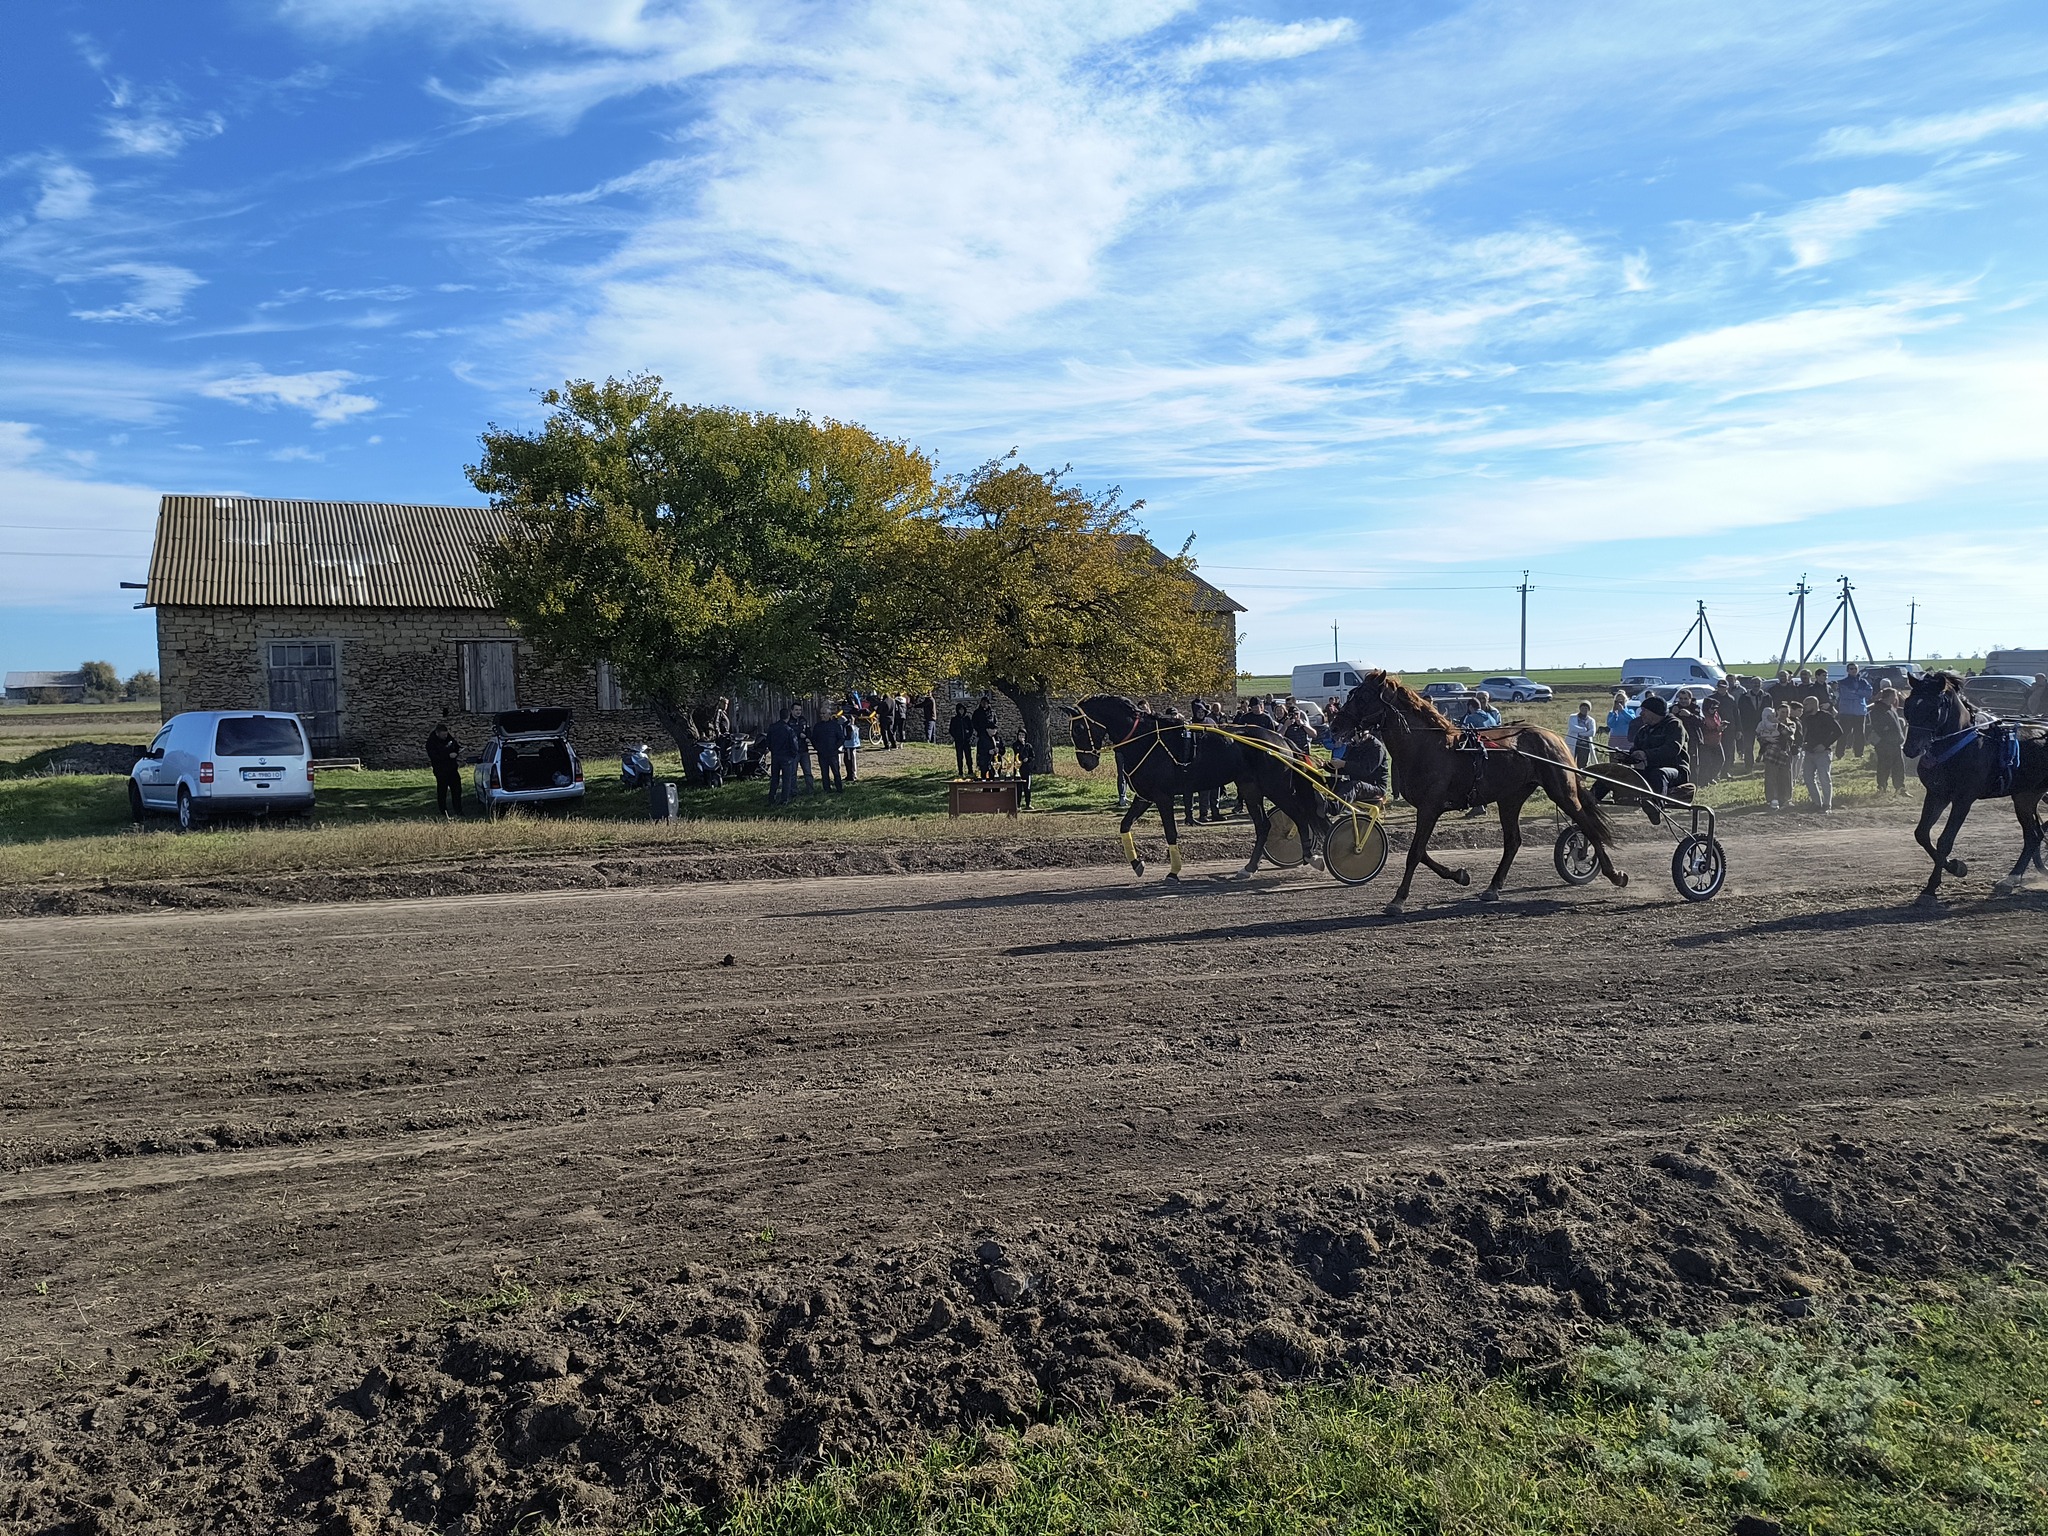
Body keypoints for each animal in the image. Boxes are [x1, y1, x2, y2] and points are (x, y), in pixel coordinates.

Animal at [1327, 671, 1630, 913]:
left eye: (1362, 696)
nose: (1335, 725)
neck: (1427, 746)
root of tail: (1553, 736)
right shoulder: (1428, 809)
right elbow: (1421, 852)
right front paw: (1460, 875)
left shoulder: (1430, 807)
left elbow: (1415, 853)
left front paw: (1398, 900)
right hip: (1510, 798)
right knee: (1513, 841)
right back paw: (1493, 887)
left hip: (1561, 791)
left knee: (1587, 825)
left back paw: (1612, 873)